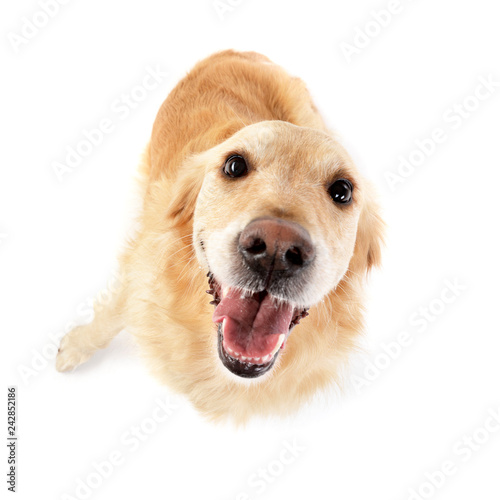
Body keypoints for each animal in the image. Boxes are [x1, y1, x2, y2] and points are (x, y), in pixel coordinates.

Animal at [55, 49, 382, 422]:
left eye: (342, 190)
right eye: (234, 165)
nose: (275, 247)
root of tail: (238, 51)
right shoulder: (140, 269)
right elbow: (110, 316)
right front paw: (75, 346)